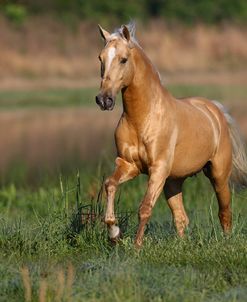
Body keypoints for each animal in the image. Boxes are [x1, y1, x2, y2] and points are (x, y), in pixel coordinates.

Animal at [95, 22, 247, 247]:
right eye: (101, 58)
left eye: (123, 59)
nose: (104, 100)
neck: (142, 118)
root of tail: (215, 110)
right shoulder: (128, 165)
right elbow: (110, 184)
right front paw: (114, 233)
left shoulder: (157, 170)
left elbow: (145, 208)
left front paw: (136, 247)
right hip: (173, 182)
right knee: (181, 217)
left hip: (218, 175)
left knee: (225, 212)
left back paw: (226, 243)